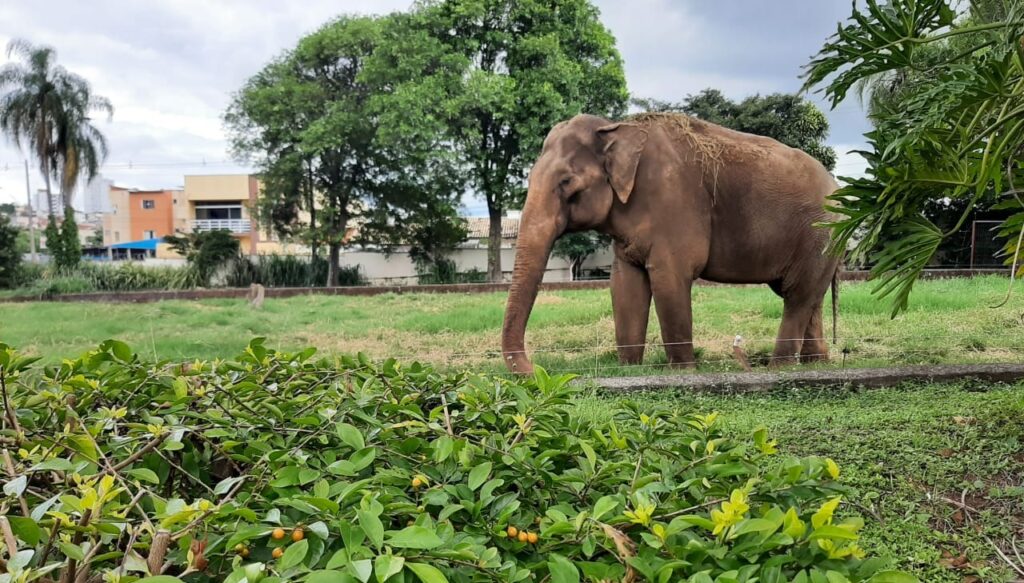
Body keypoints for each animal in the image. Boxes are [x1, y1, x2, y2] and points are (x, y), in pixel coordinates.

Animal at [501, 112, 840, 374]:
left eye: (567, 182)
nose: (536, 370)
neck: (617, 127)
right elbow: (624, 285)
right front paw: (629, 369)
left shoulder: (673, 203)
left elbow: (669, 280)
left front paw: (683, 371)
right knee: (808, 296)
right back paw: (815, 363)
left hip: (819, 234)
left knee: (797, 296)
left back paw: (780, 367)